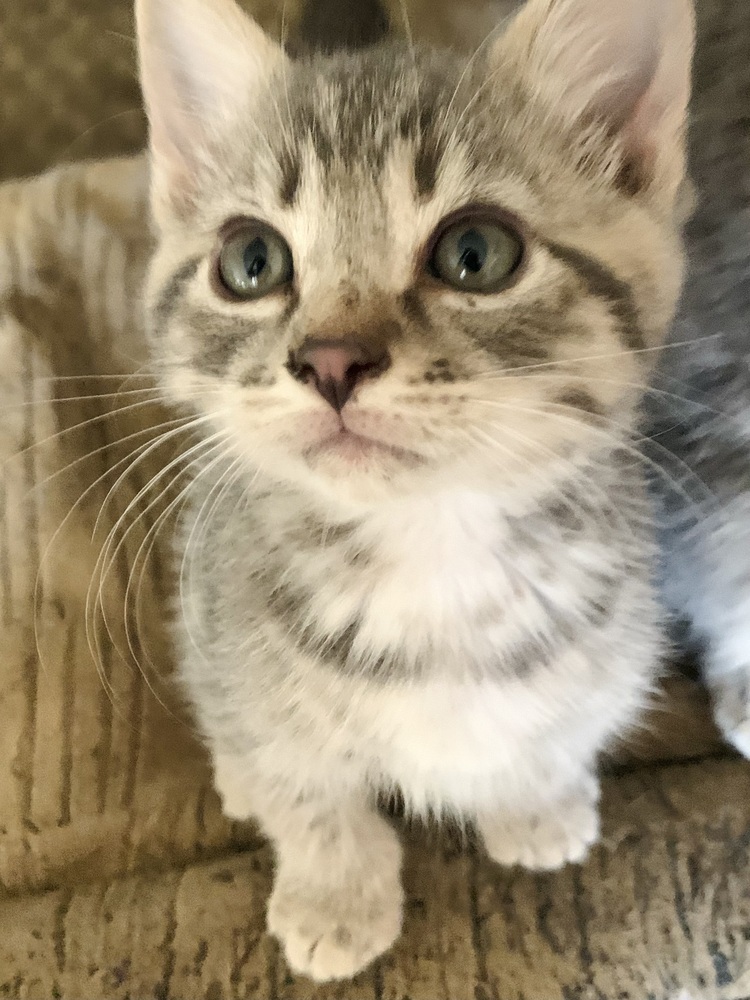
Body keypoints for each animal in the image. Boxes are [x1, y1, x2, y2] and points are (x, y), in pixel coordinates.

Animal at [134, 0, 692, 984]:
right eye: (251, 260)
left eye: (476, 253)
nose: (329, 360)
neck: (431, 548)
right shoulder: (240, 649)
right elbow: (308, 793)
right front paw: (335, 892)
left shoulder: (614, 646)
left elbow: (558, 730)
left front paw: (537, 802)